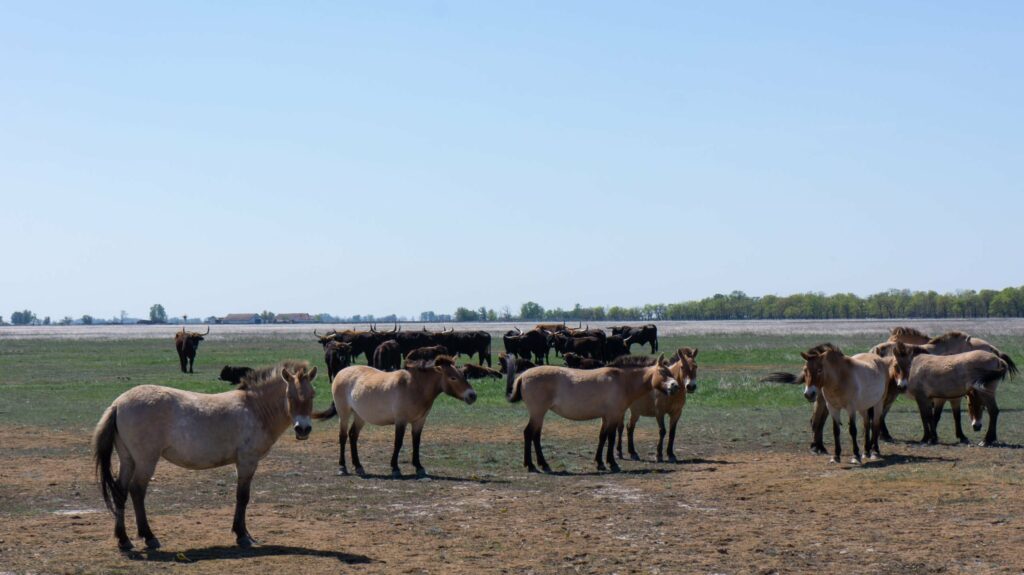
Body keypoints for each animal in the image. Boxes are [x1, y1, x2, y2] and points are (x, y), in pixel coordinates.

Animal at [96, 360, 321, 548]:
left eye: (312, 395)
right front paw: (242, 535)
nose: (303, 429)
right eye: (290, 396)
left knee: (120, 492)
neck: (255, 408)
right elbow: (243, 497)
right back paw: (149, 537)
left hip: (128, 460)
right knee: (137, 491)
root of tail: (118, 403)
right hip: (146, 460)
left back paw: (124, 540)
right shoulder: (247, 461)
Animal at [311, 356, 475, 476]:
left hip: (360, 416)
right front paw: (395, 468)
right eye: (452, 377)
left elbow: (416, 442)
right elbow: (398, 442)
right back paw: (342, 467)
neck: (414, 387)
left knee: (353, 436)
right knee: (343, 436)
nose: (472, 396)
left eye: (463, 375)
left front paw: (419, 467)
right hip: (344, 413)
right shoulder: (400, 420)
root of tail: (341, 373)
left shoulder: (419, 421)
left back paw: (359, 467)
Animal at [503, 354, 679, 470]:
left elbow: (602, 437)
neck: (622, 381)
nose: (675, 386)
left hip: (538, 414)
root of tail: (522, 376)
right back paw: (533, 465)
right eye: (663, 372)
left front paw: (599, 462)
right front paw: (612, 463)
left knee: (534, 435)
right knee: (530, 434)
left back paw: (537, 463)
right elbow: (611, 437)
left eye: (671, 373)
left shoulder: (606, 417)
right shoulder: (614, 415)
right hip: (538, 413)